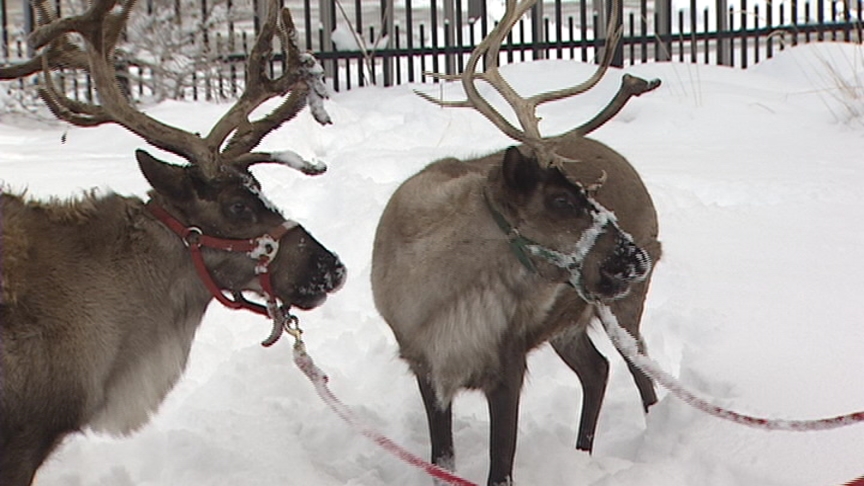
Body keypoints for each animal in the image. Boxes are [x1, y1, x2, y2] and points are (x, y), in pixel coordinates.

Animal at [370, 1, 660, 484]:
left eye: (589, 194)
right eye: (561, 200)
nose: (636, 257)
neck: (447, 298)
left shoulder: (507, 364)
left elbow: (500, 468)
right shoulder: (424, 365)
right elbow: (441, 460)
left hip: (624, 307)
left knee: (641, 372)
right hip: (571, 320)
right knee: (597, 370)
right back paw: (581, 454)